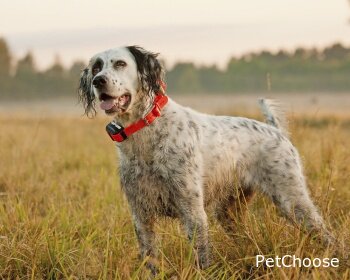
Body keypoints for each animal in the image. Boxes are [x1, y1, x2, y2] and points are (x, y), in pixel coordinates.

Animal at [78, 46, 334, 274]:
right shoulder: (141, 215)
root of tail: (275, 130)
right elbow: (151, 259)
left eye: (120, 64)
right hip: (230, 212)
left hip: (293, 201)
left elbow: (201, 257)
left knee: (327, 234)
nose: (98, 81)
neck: (147, 131)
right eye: (96, 67)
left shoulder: (193, 212)